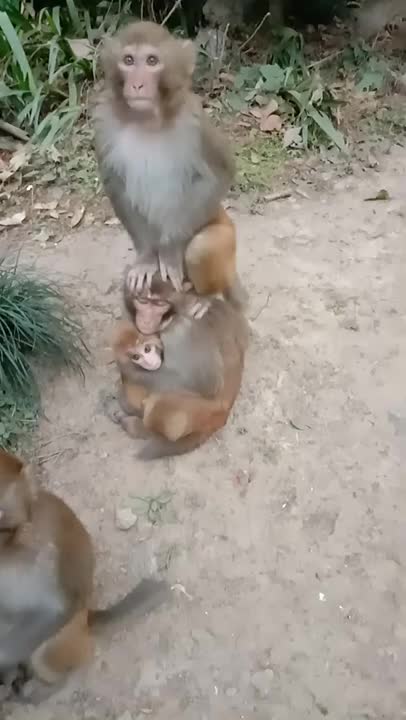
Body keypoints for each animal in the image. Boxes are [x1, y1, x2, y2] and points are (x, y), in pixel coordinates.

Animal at [0, 449, 170, 697]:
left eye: (0, 515)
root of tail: (88, 617)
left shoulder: (42, 551)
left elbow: (57, 607)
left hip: (69, 636)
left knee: (45, 649)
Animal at [93, 20, 246, 307]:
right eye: (128, 60)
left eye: (152, 61)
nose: (137, 85)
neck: (148, 119)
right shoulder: (104, 123)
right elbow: (115, 182)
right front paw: (146, 258)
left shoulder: (194, 120)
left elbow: (221, 173)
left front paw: (170, 250)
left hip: (226, 240)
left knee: (201, 248)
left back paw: (205, 297)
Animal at [108, 272, 249, 459]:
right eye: (142, 301)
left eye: (159, 304)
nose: (145, 320)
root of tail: (222, 416)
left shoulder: (181, 333)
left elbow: (207, 384)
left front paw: (127, 374)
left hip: (199, 413)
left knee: (161, 402)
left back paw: (138, 425)